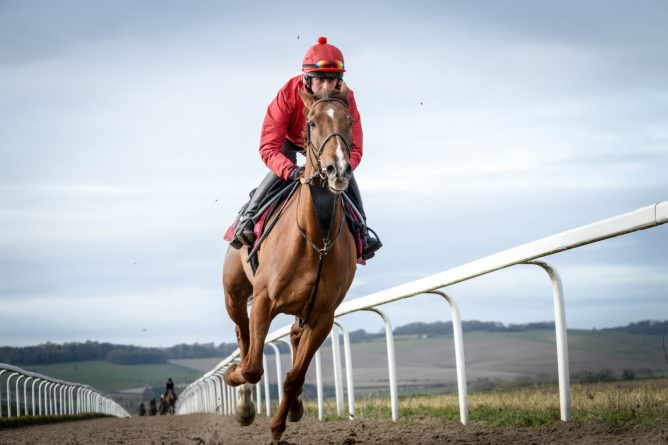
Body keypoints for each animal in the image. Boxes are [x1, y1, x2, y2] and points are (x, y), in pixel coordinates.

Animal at [223, 84, 360, 440]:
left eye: (349, 121)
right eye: (311, 123)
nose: (338, 169)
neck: (316, 241)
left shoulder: (323, 315)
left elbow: (294, 376)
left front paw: (278, 424)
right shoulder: (264, 301)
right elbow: (252, 367)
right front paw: (234, 379)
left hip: (303, 309)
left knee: (294, 338)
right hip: (235, 294)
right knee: (243, 335)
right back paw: (243, 399)